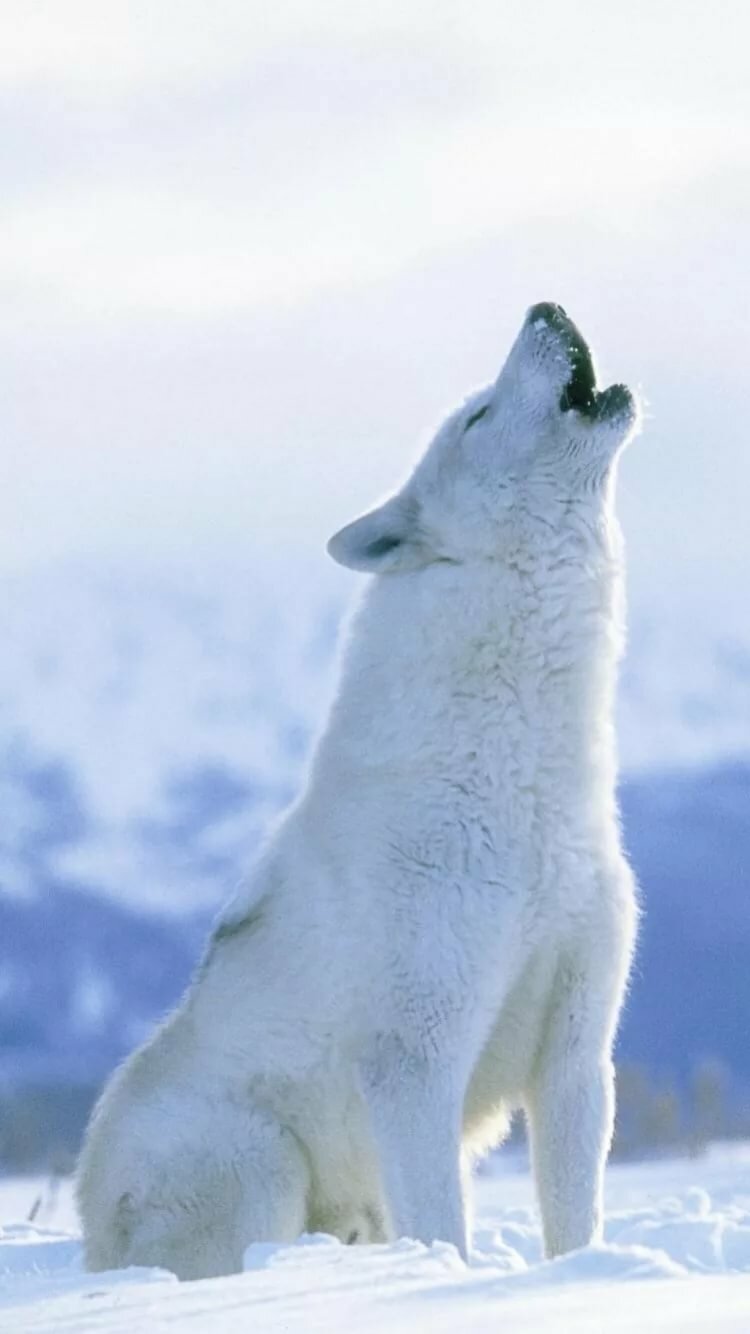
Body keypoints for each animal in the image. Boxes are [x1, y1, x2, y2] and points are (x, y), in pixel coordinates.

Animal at [77, 302, 640, 1279]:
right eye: (478, 418)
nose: (546, 307)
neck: (523, 790)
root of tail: (83, 1229)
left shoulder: (577, 1054)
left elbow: (575, 1223)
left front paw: (580, 1281)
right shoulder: (415, 1063)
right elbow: (445, 1224)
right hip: (260, 1164)